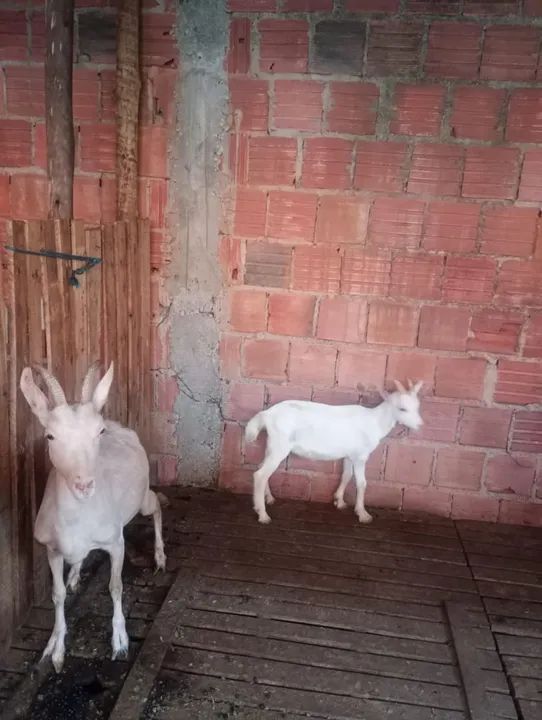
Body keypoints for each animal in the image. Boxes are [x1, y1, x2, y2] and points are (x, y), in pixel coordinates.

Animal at [19, 361, 166, 673]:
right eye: (50, 435)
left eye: (98, 432)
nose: (84, 485)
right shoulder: (51, 548)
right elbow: (57, 594)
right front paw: (55, 649)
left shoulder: (115, 542)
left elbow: (116, 586)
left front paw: (120, 642)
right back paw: (75, 574)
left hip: (142, 499)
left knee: (157, 505)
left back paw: (160, 557)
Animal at [245, 379, 423, 524]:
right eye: (402, 409)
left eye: (417, 407)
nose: (420, 425)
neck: (375, 422)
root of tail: (267, 414)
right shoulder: (360, 456)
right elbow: (361, 483)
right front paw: (363, 514)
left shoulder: (349, 455)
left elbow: (346, 475)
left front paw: (339, 501)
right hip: (280, 446)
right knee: (260, 475)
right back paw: (263, 515)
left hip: (272, 446)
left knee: (261, 468)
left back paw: (269, 498)